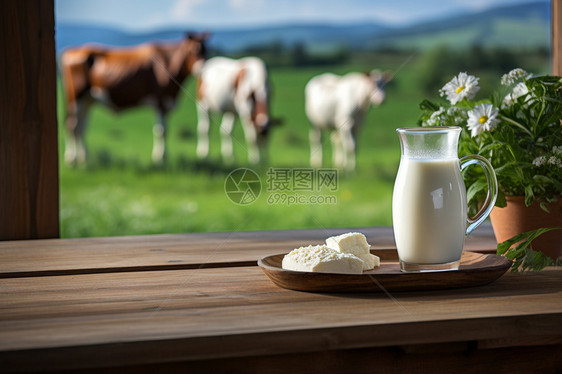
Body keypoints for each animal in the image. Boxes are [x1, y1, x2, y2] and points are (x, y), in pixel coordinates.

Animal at [60, 32, 208, 165]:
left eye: (205, 50)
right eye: (192, 51)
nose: (201, 68)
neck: (169, 62)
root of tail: (72, 51)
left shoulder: (165, 102)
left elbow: (162, 130)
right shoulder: (161, 102)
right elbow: (161, 131)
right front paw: (161, 159)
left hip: (88, 100)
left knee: (81, 126)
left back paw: (84, 158)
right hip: (75, 97)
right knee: (72, 125)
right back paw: (71, 159)